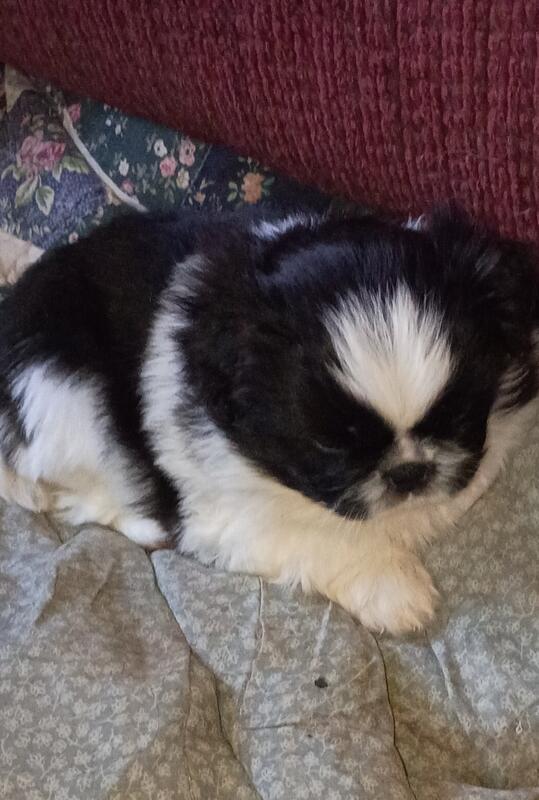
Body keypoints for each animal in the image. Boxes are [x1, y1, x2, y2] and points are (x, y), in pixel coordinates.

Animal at [0, 206, 537, 634]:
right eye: (331, 447)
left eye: (461, 416)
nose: (409, 472)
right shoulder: (226, 518)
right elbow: (325, 538)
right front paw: (395, 589)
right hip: (66, 400)